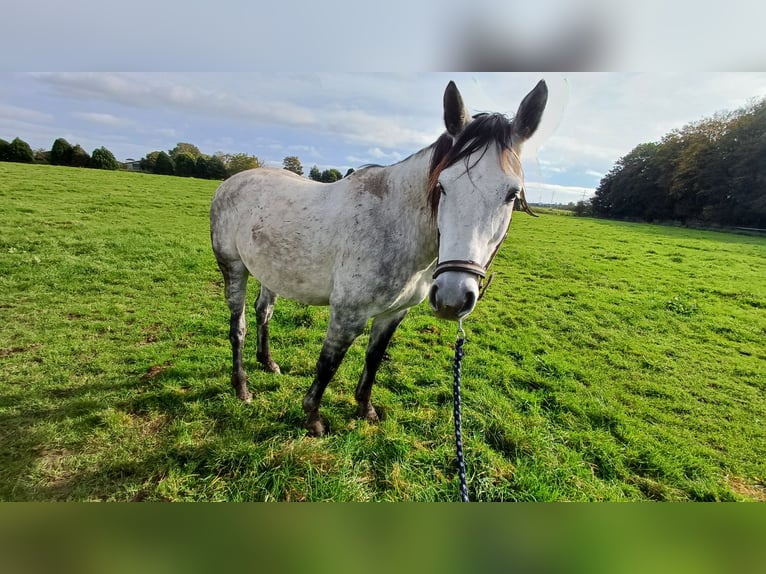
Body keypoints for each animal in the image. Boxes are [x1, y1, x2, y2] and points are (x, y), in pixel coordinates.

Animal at [210, 79, 544, 434]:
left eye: (512, 195)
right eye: (442, 186)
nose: (453, 298)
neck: (395, 226)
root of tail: (230, 182)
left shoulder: (393, 314)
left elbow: (373, 359)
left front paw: (365, 409)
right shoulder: (347, 314)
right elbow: (328, 363)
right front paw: (313, 418)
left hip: (269, 273)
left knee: (264, 312)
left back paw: (268, 362)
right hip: (234, 268)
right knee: (238, 326)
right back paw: (242, 387)